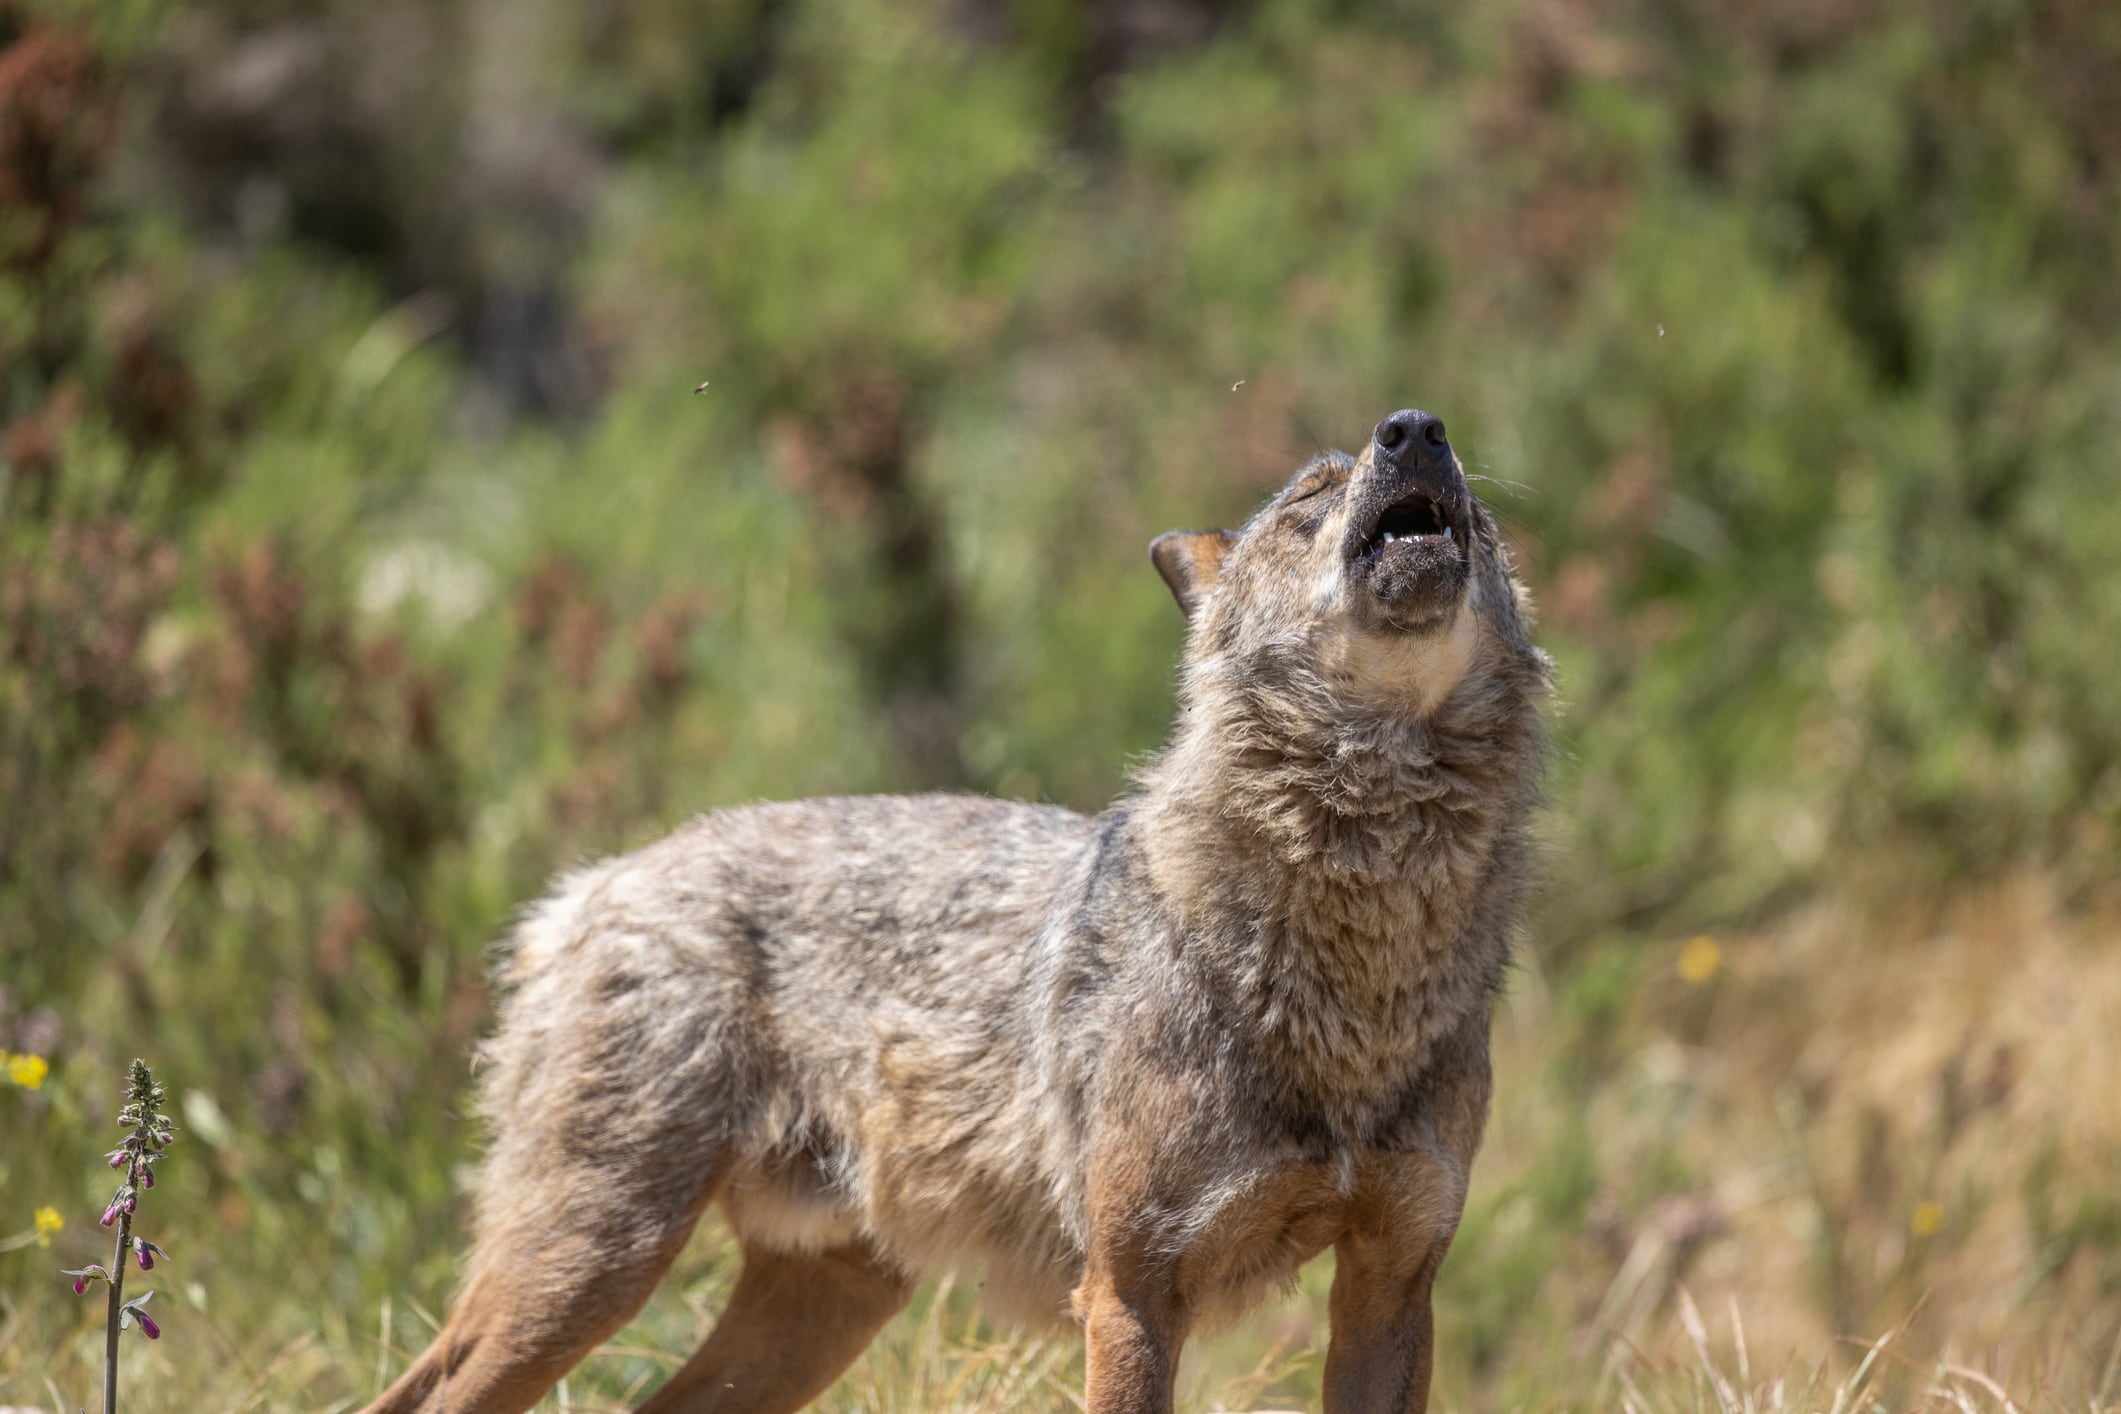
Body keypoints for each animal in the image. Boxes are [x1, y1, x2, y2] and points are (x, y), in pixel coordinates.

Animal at [373, 407, 1552, 1414]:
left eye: (1481, 515)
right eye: (1310, 498)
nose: (1416, 429)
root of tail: (594, 882)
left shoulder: (1391, 1288)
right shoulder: (1130, 1294)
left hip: (814, 1305)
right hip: (594, 1263)